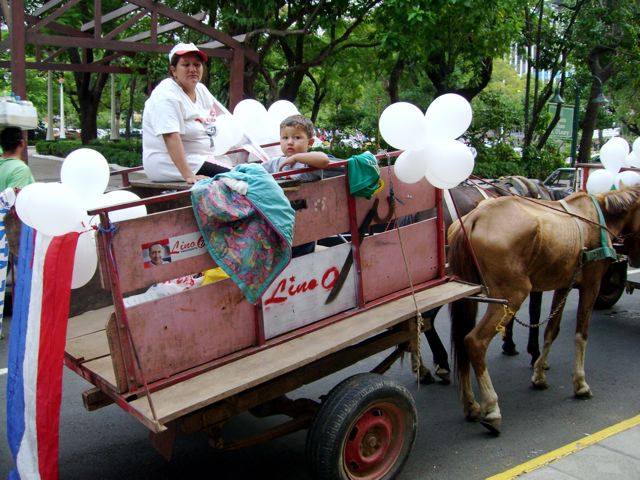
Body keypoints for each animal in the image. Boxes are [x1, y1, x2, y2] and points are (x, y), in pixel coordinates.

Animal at [448, 186, 640, 434]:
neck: (597, 215)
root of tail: (474, 217)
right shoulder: (592, 285)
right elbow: (581, 334)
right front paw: (580, 383)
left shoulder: (563, 285)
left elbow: (551, 330)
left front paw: (539, 374)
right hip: (512, 295)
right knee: (475, 341)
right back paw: (492, 408)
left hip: (471, 295)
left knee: (462, 340)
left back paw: (471, 405)